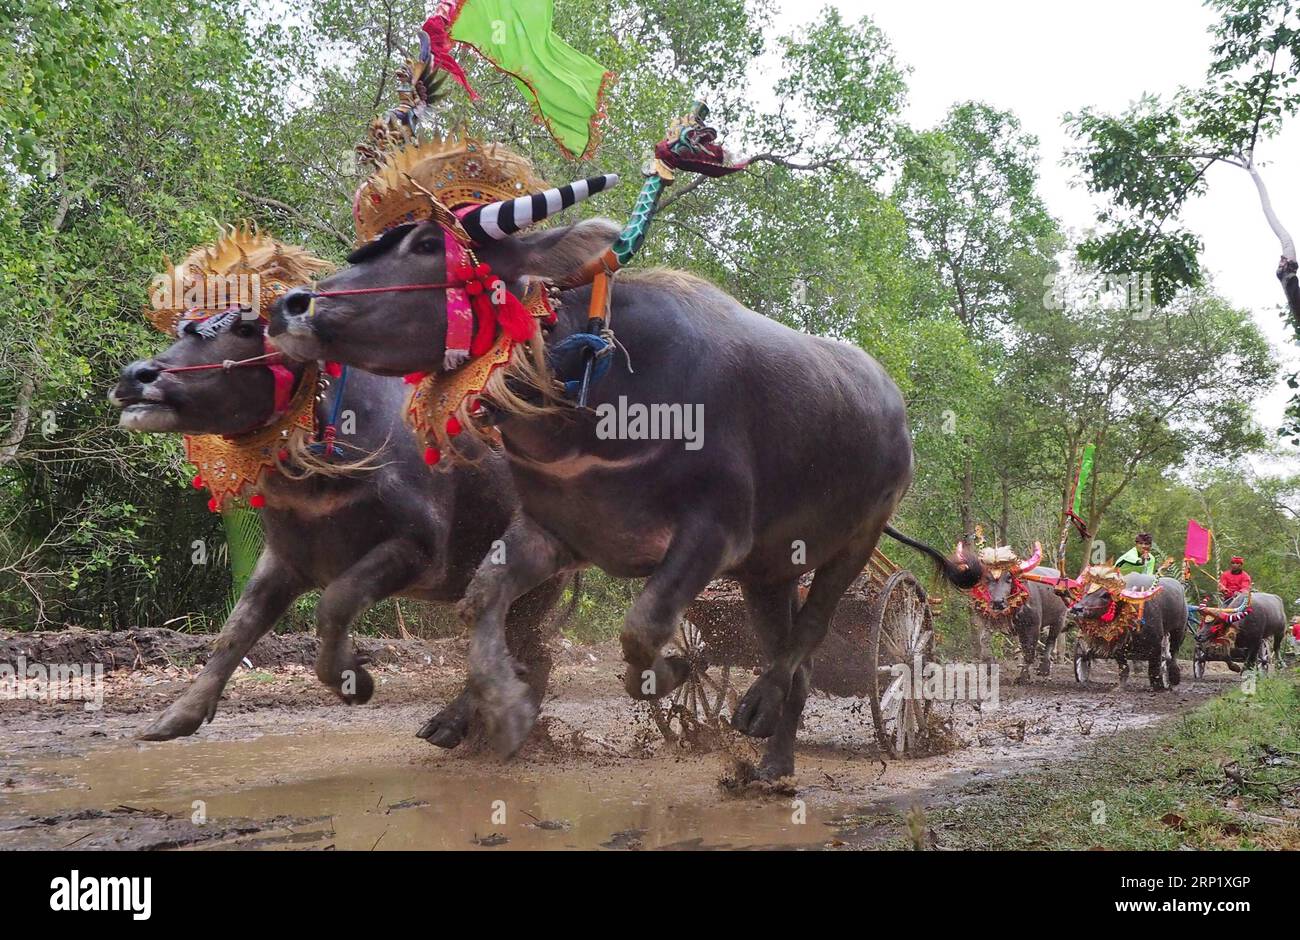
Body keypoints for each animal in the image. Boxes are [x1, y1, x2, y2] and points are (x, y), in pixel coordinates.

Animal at [118, 287, 569, 743]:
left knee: (513, 646)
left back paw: (454, 723)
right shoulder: (285, 559)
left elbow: (334, 602)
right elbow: (235, 630)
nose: (137, 375)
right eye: (183, 329)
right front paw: (176, 716)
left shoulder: (419, 551)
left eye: (245, 329)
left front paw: (353, 682)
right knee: (527, 653)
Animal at [956, 543, 1066, 686]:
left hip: (1059, 619)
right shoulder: (991, 621)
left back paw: (1044, 669)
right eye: (986, 579)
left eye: (1008, 578)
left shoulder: (1033, 625)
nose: (998, 602)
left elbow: (1029, 651)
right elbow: (984, 640)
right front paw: (990, 666)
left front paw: (1023, 677)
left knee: (1051, 641)